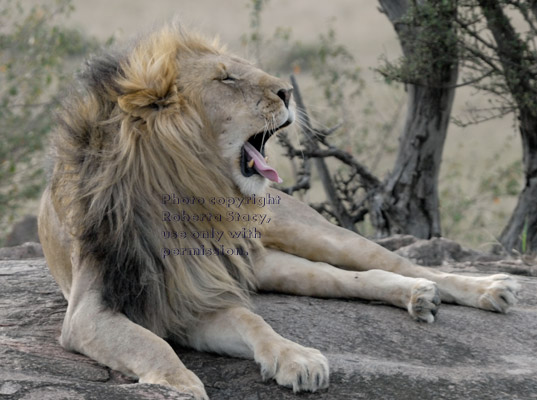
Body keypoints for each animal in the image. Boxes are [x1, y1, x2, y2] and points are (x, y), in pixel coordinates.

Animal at [38, 25, 520, 400]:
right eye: (227, 78)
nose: (287, 90)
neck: (194, 201)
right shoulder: (95, 312)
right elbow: (154, 344)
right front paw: (182, 385)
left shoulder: (198, 293)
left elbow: (252, 320)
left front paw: (296, 357)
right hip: (270, 267)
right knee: (353, 279)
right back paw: (417, 296)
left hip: (308, 232)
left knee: (394, 262)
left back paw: (486, 288)